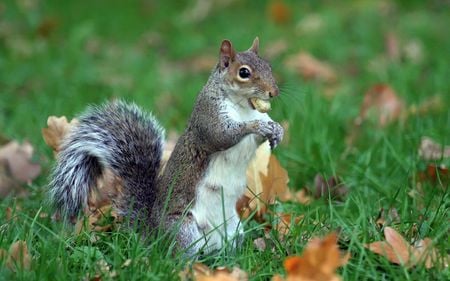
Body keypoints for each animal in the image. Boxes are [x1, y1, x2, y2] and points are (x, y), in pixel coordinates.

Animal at [47, 37, 284, 256]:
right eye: (244, 72)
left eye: (269, 65)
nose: (273, 92)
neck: (244, 106)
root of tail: (153, 235)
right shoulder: (208, 117)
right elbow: (222, 136)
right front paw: (257, 126)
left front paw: (277, 130)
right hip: (183, 230)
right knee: (179, 257)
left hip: (234, 229)